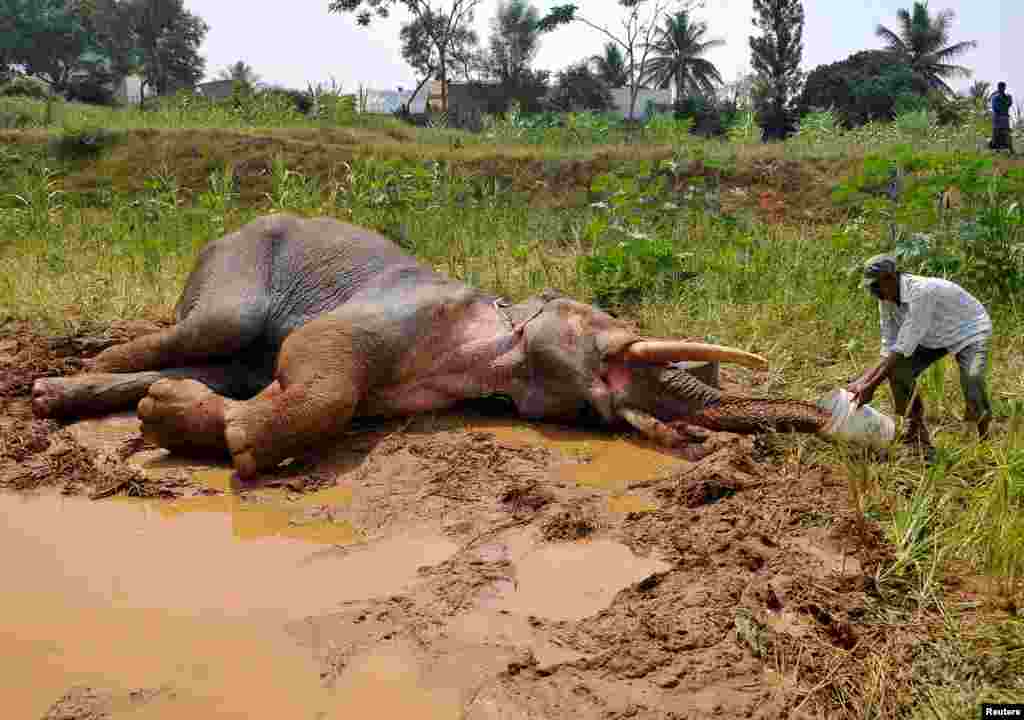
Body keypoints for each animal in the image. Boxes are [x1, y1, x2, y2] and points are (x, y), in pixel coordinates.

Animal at [32, 210, 831, 479]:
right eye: (620, 341)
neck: (501, 332)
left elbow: (311, 388)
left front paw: (175, 418)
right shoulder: (400, 308)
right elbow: (321, 360)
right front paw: (245, 448)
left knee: (227, 364)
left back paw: (58, 394)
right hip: (238, 267)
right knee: (216, 326)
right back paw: (75, 370)